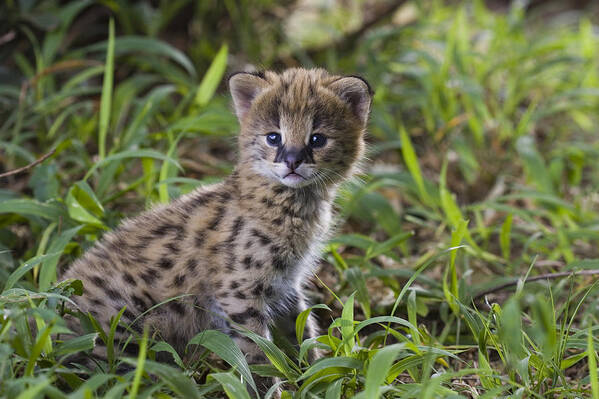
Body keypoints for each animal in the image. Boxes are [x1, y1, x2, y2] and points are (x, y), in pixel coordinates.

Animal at [63, 68, 372, 390]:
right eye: (274, 137)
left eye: (317, 139)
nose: (292, 162)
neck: (293, 202)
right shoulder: (239, 292)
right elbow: (257, 353)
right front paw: (269, 390)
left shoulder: (287, 284)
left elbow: (301, 331)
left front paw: (315, 377)